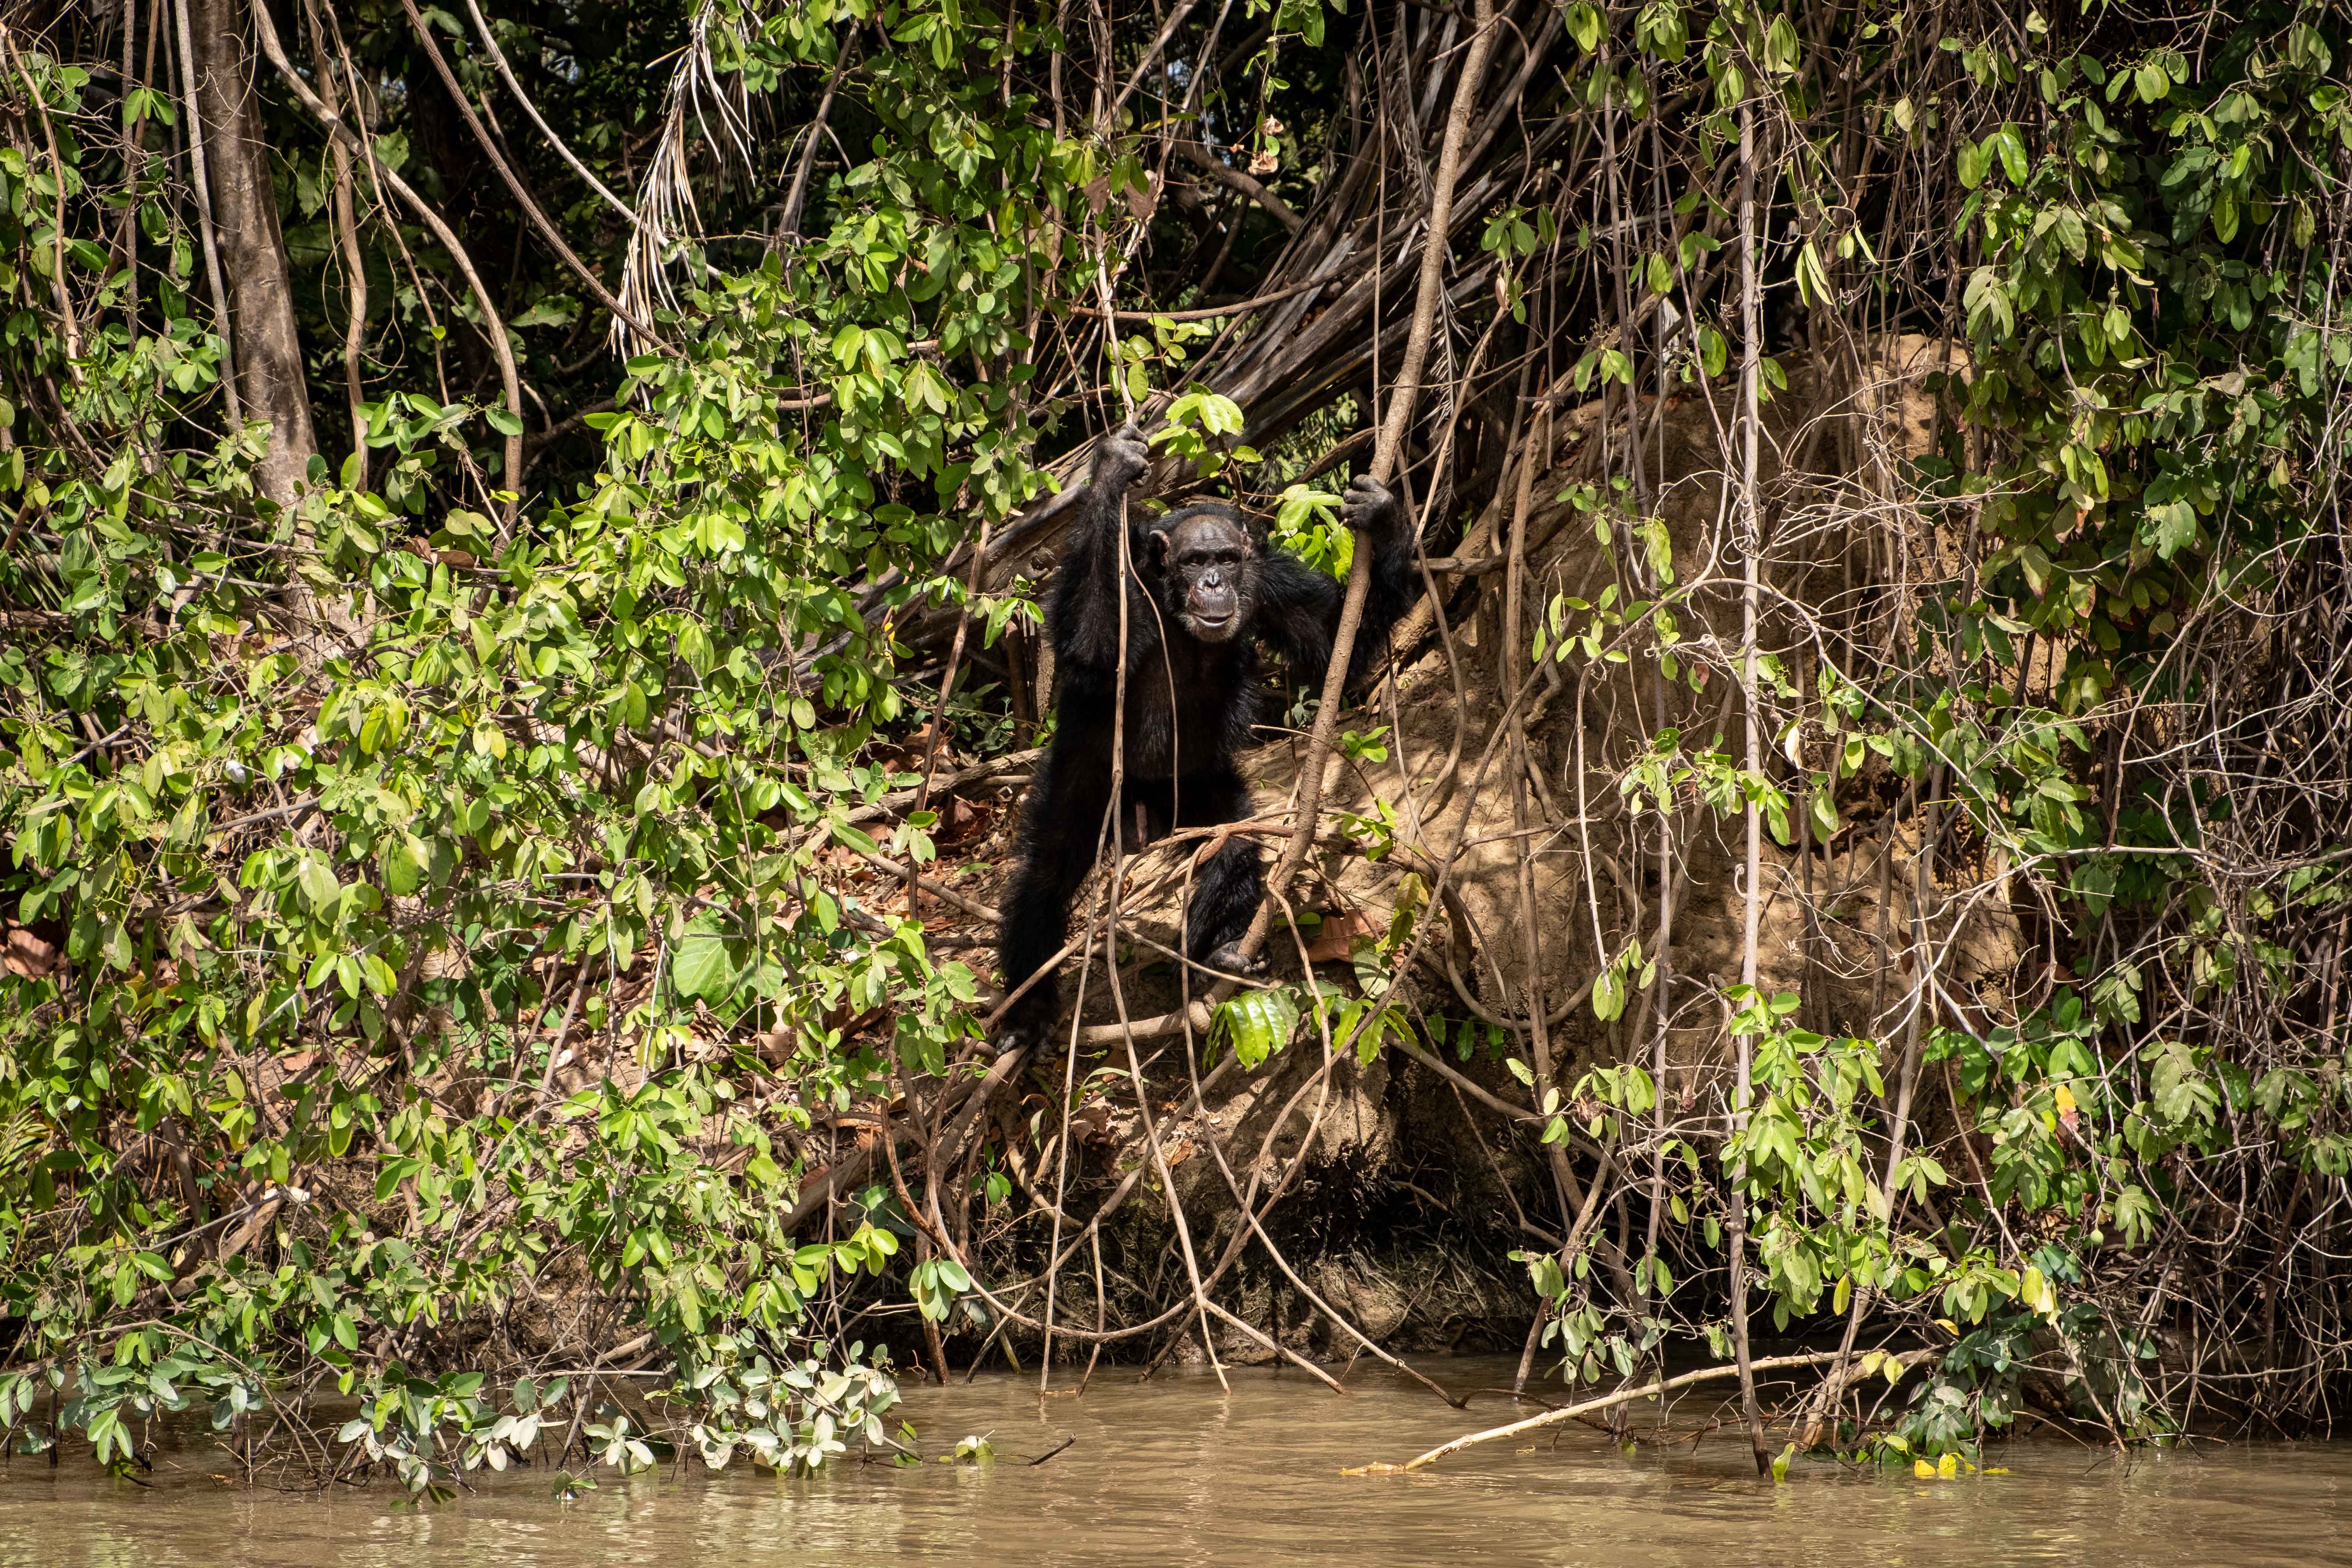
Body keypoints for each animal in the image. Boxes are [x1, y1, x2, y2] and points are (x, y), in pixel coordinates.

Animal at [993, 423, 1411, 1048]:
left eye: (1226, 559)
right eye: (1194, 561)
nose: (1213, 582)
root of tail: (1143, 812)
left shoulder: (1271, 585)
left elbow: (1334, 638)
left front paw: (1382, 517)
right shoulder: (1124, 586)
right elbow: (1091, 646)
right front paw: (1111, 470)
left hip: (1193, 790)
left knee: (1231, 844)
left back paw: (1215, 953)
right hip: (1086, 780)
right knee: (1044, 876)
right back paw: (1028, 1012)